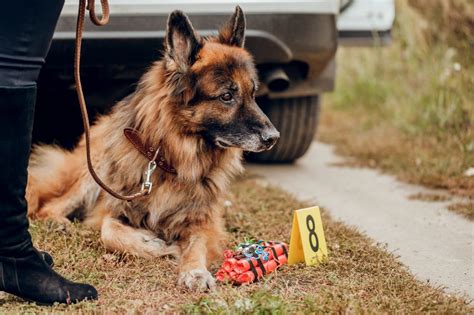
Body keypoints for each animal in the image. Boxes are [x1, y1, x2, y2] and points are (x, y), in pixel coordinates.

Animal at [25, 6, 278, 292]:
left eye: (253, 94)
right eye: (226, 96)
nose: (273, 137)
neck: (172, 160)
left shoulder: (203, 221)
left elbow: (196, 245)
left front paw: (195, 271)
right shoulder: (109, 209)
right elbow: (109, 230)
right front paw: (157, 246)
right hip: (93, 172)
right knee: (47, 206)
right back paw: (58, 223)